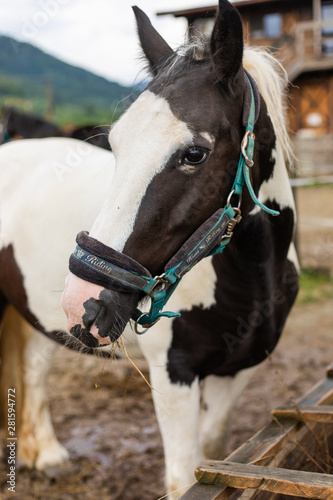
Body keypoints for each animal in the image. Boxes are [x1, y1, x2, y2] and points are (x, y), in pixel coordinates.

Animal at [0, 1, 296, 498]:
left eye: (194, 154)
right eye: (115, 145)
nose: (84, 301)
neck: (251, 276)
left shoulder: (236, 371)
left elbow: (213, 456)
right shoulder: (173, 375)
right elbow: (183, 475)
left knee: (35, 369)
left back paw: (49, 456)